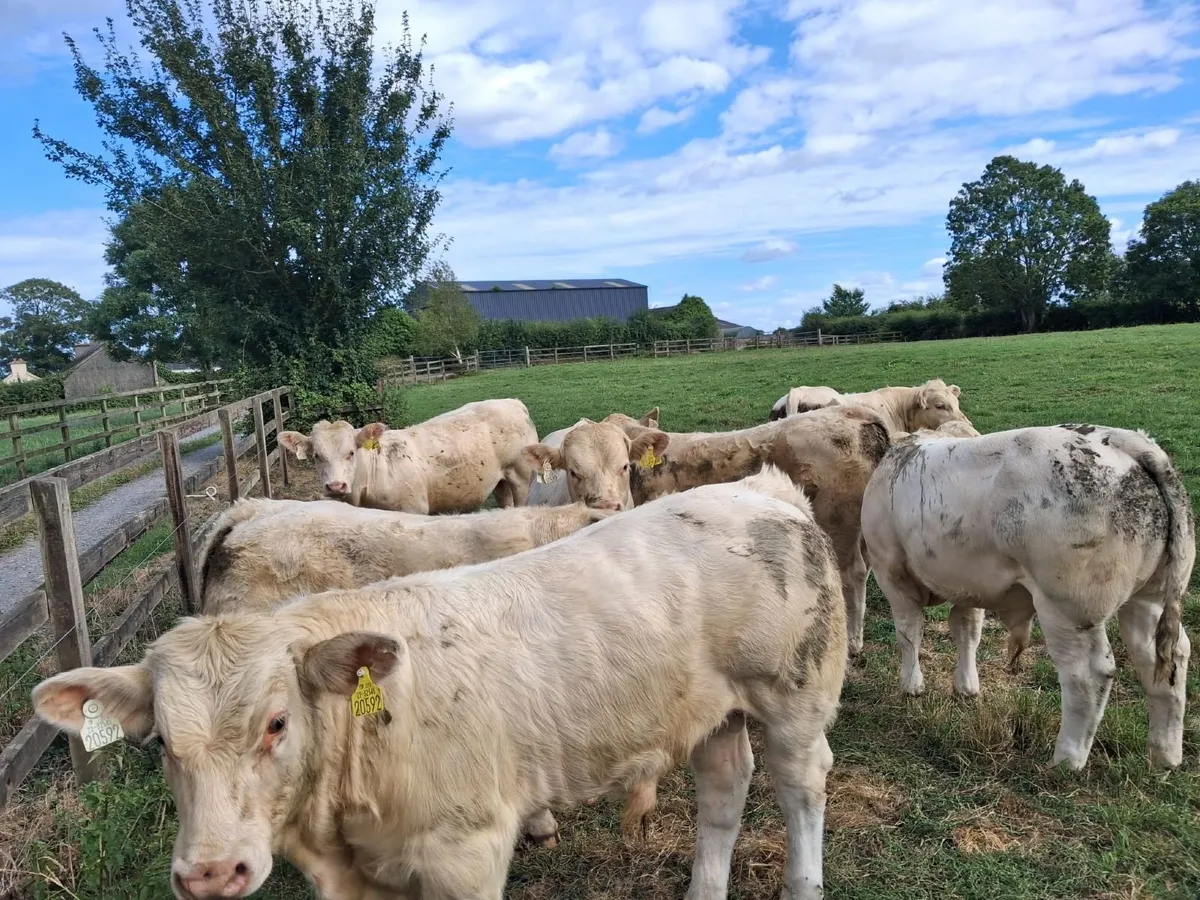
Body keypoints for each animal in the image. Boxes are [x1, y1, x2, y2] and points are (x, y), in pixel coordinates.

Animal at [33, 467, 847, 900]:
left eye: (276, 722)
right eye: (162, 744)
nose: (209, 873)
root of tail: (761, 490)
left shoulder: (467, 852)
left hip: (795, 697)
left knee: (801, 785)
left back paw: (803, 883)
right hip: (715, 711)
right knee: (724, 790)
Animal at [278, 398, 538, 514]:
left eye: (351, 452)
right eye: (316, 456)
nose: (335, 486)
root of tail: (513, 401)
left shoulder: (414, 509)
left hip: (521, 476)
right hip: (501, 482)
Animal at [861, 423, 1194, 770]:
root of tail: (1120, 439)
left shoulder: (891, 571)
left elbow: (908, 632)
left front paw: (911, 686)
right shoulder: (968, 584)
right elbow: (966, 631)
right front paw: (966, 688)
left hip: (1068, 610)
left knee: (1086, 675)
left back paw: (1067, 760)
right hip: (1149, 599)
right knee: (1165, 661)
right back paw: (1164, 756)